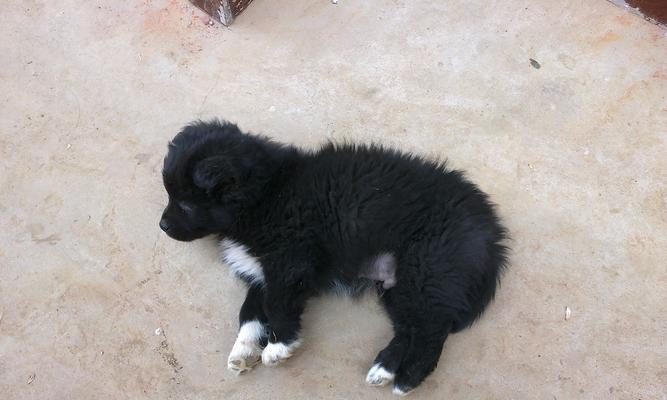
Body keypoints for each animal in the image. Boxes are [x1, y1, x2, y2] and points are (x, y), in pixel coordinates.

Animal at [159, 120, 508, 396]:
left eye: (186, 204)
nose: (162, 226)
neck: (263, 196)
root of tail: (491, 231)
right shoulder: (262, 270)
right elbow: (249, 311)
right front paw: (244, 349)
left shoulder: (290, 263)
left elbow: (276, 304)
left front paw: (278, 346)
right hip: (399, 284)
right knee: (411, 327)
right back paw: (384, 368)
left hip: (427, 269)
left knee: (431, 331)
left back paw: (406, 379)